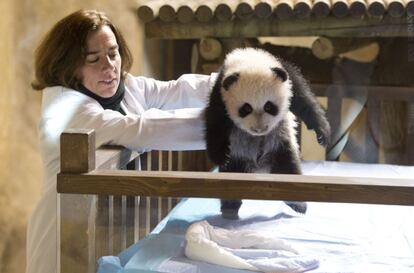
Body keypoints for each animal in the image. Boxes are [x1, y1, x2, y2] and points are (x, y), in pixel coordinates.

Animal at [205, 47, 330, 219]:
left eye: (269, 106)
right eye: (246, 108)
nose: (259, 129)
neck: (250, 59)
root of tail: (259, 168)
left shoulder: (289, 79)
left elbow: (304, 102)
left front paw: (322, 133)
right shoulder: (220, 92)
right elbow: (215, 121)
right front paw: (220, 155)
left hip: (280, 146)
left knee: (288, 171)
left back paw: (298, 204)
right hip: (238, 155)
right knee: (229, 178)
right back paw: (230, 208)